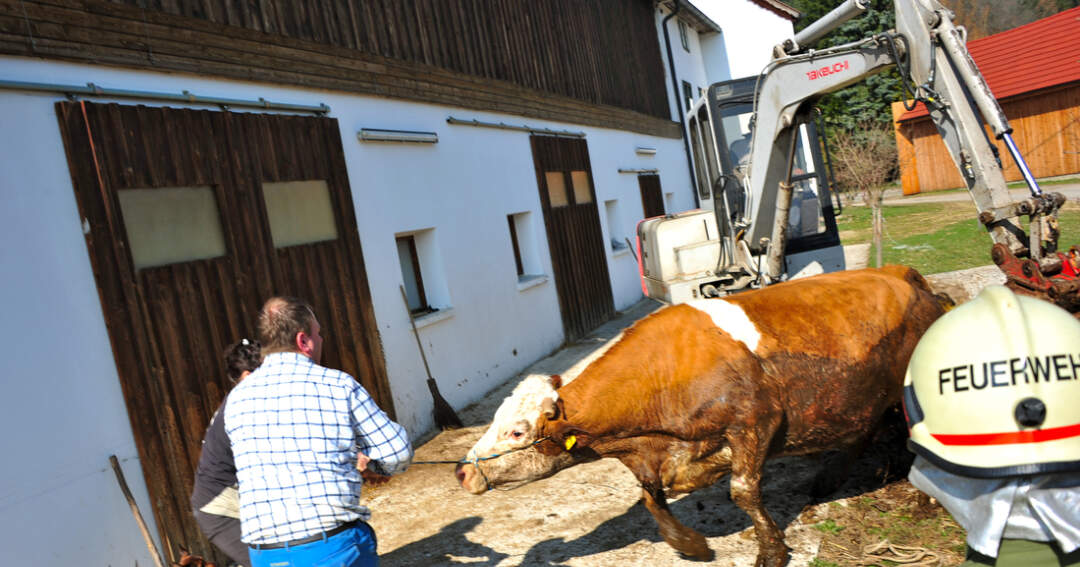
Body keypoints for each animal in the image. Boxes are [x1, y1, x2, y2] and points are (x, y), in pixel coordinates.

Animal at [455, 265, 946, 565]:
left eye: (517, 432)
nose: (462, 471)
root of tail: (900, 274)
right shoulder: (670, 453)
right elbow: (651, 497)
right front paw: (691, 545)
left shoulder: (754, 422)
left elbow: (744, 492)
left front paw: (771, 552)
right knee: (864, 430)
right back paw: (834, 478)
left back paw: (925, 500)